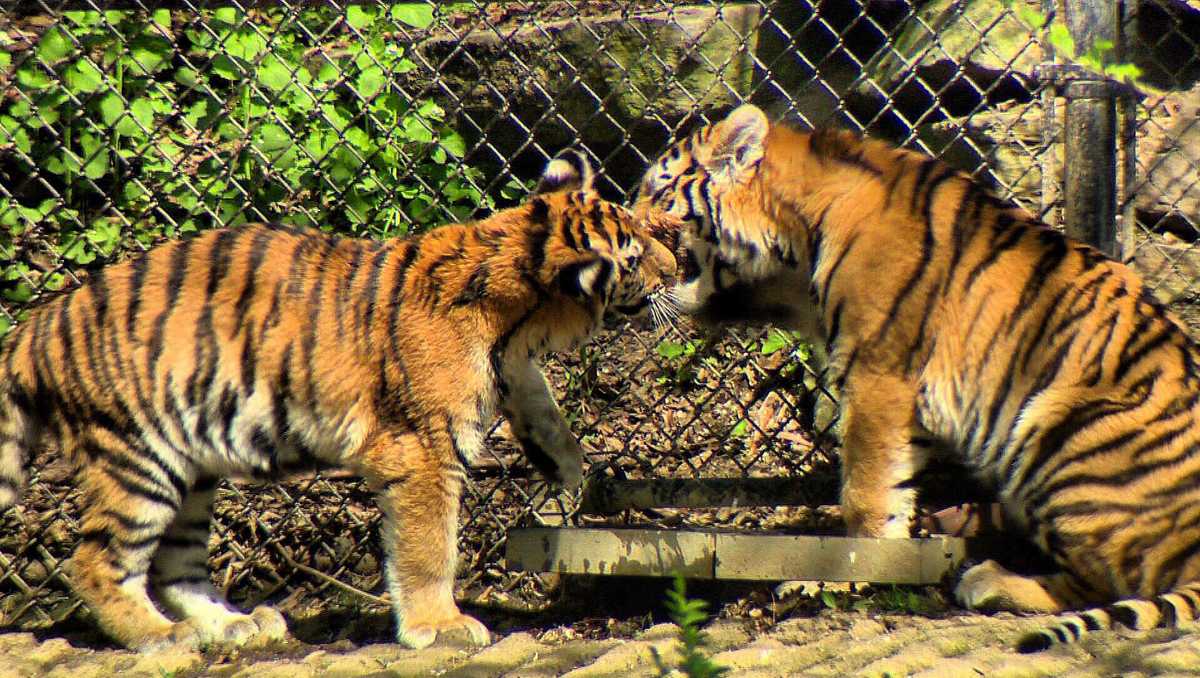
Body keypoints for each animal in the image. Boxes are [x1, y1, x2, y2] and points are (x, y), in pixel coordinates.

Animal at [0, 151, 676, 648]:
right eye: (636, 256)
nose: (677, 269)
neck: (517, 302)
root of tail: (34, 327)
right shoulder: (422, 448)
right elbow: (429, 545)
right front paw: (439, 626)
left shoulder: (508, 367)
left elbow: (541, 403)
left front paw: (567, 464)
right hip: (138, 458)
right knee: (95, 562)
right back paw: (161, 638)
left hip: (190, 471)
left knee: (174, 567)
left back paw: (237, 626)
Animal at [633, 104, 1195, 648]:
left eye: (657, 189)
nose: (624, 236)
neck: (793, 248)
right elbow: (894, 486)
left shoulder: (877, 372)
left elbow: (864, 492)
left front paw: (844, 575)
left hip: (1056, 427)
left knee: (1112, 582)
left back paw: (989, 581)